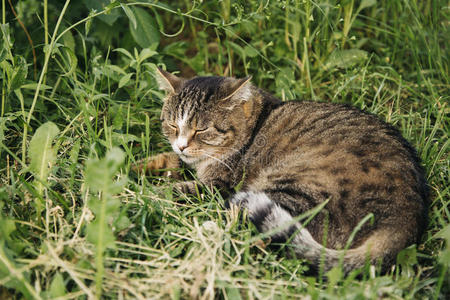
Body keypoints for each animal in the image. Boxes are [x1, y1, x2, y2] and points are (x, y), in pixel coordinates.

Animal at [134, 68, 428, 274]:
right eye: (172, 125)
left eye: (201, 129)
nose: (182, 145)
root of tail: (405, 220)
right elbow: (165, 162)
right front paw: (132, 166)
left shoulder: (217, 187)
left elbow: (173, 190)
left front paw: (140, 193)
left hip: (292, 185)